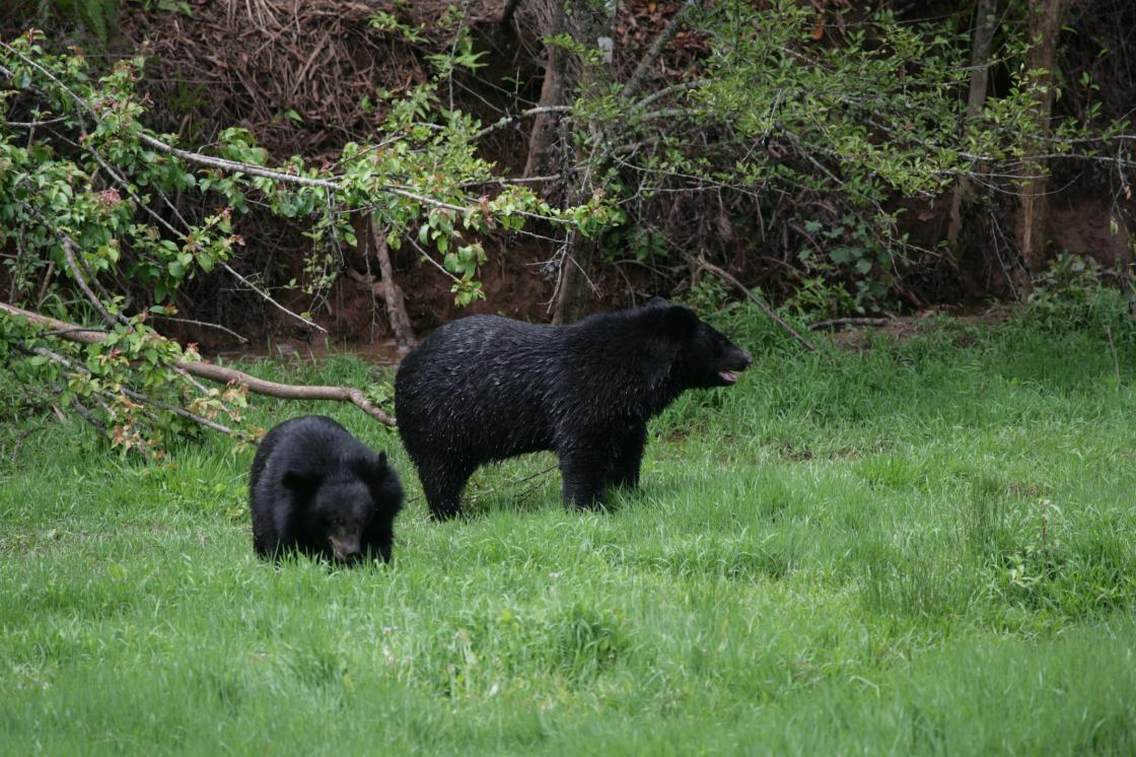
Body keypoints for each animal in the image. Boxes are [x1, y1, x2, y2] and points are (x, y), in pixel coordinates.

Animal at [248, 416, 404, 563]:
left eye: (361, 519)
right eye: (335, 520)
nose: (350, 552)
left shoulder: (384, 508)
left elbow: (379, 542)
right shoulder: (283, 515)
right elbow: (282, 545)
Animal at [395, 295, 749, 518]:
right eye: (719, 340)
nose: (747, 358)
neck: (629, 372)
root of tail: (402, 371)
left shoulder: (623, 418)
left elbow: (627, 454)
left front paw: (627, 494)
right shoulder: (579, 398)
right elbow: (582, 454)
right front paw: (586, 507)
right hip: (439, 425)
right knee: (440, 475)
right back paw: (451, 514)